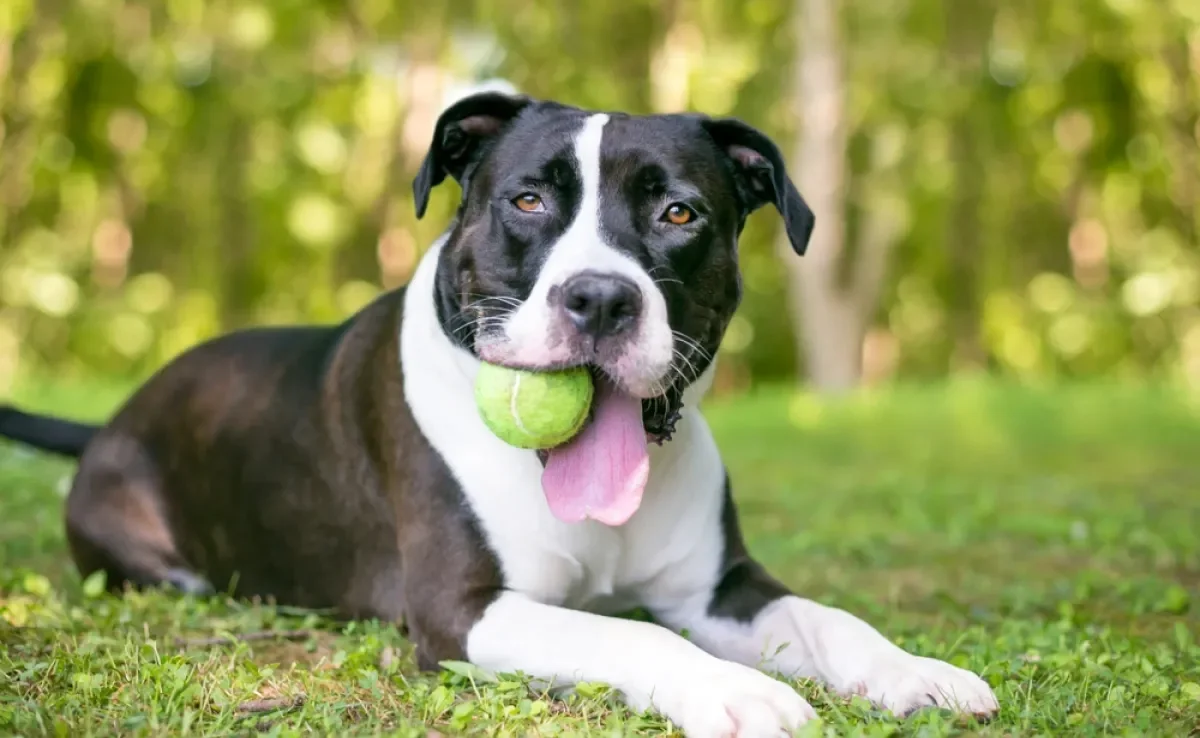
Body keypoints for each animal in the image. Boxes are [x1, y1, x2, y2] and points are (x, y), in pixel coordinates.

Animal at [0, 93, 993, 738]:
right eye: (526, 199)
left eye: (679, 213)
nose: (600, 298)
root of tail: (112, 421)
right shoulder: (464, 609)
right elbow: (627, 630)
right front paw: (730, 692)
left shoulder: (721, 588)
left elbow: (831, 620)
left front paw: (919, 673)